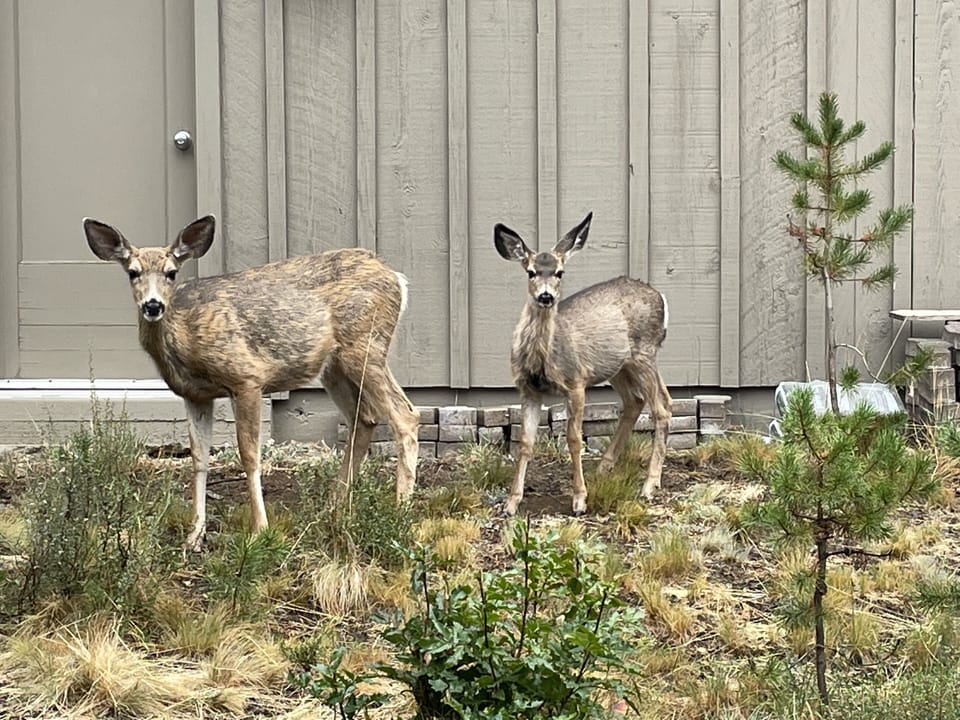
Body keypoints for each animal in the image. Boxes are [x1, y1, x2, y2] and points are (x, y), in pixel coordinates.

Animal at [83, 215, 420, 550]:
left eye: (171, 272)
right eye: (133, 272)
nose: (153, 306)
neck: (185, 337)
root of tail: (397, 278)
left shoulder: (246, 378)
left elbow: (249, 455)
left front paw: (259, 529)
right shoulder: (195, 395)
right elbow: (199, 459)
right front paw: (194, 535)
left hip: (366, 345)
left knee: (405, 414)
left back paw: (399, 511)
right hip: (333, 366)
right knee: (364, 417)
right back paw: (333, 508)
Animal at [494, 212, 672, 516]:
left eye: (559, 272)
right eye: (530, 272)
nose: (546, 296)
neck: (544, 358)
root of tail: (660, 296)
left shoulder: (576, 381)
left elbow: (574, 439)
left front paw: (579, 499)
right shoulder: (528, 390)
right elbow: (525, 443)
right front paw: (511, 502)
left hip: (644, 353)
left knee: (660, 408)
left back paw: (649, 485)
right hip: (619, 366)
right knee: (640, 401)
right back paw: (604, 468)